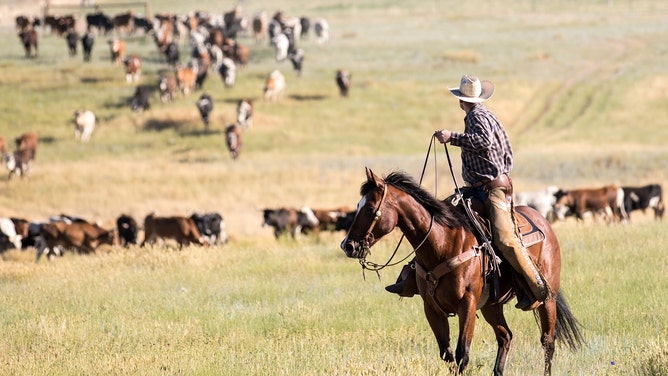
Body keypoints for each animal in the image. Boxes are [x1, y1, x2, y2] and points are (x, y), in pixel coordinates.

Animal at [342, 169, 580, 374]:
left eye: (370, 208)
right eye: (357, 206)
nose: (348, 246)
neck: (442, 244)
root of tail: (543, 221)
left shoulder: (467, 305)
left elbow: (461, 354)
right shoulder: (432, 309)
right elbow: (447, 356)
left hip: (547, 300)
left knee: (548, 341)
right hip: (491, 307)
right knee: (505, 337)